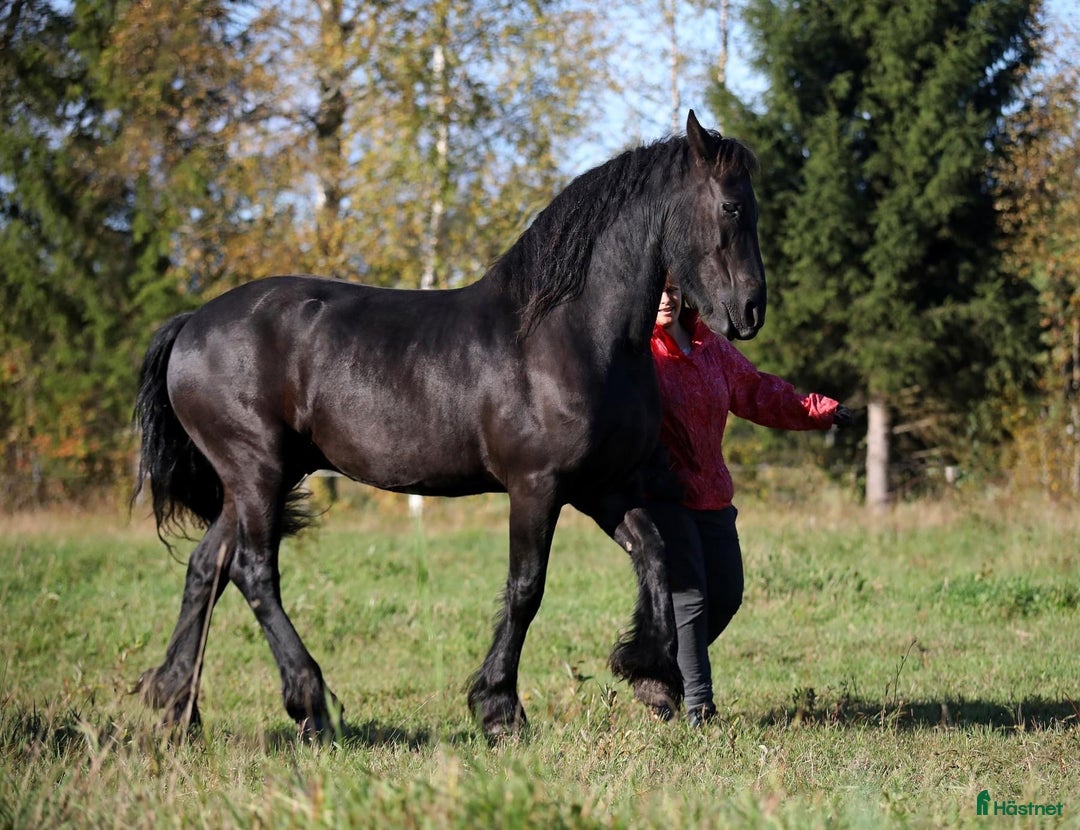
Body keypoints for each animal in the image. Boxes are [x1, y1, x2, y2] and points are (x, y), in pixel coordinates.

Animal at [132, 110, 766, 739]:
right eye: (732, 207)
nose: (751, 311)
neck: (573, 334)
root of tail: (192, 325)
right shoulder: (537, 487)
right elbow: (526, 588)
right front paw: (499, 708)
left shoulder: (603, 487)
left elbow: (655, 554)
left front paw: (652, 677)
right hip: (256, 471)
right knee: (255, 572)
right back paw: (311, 704)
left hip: (256, 480)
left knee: (208, 567)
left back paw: (177, 709)